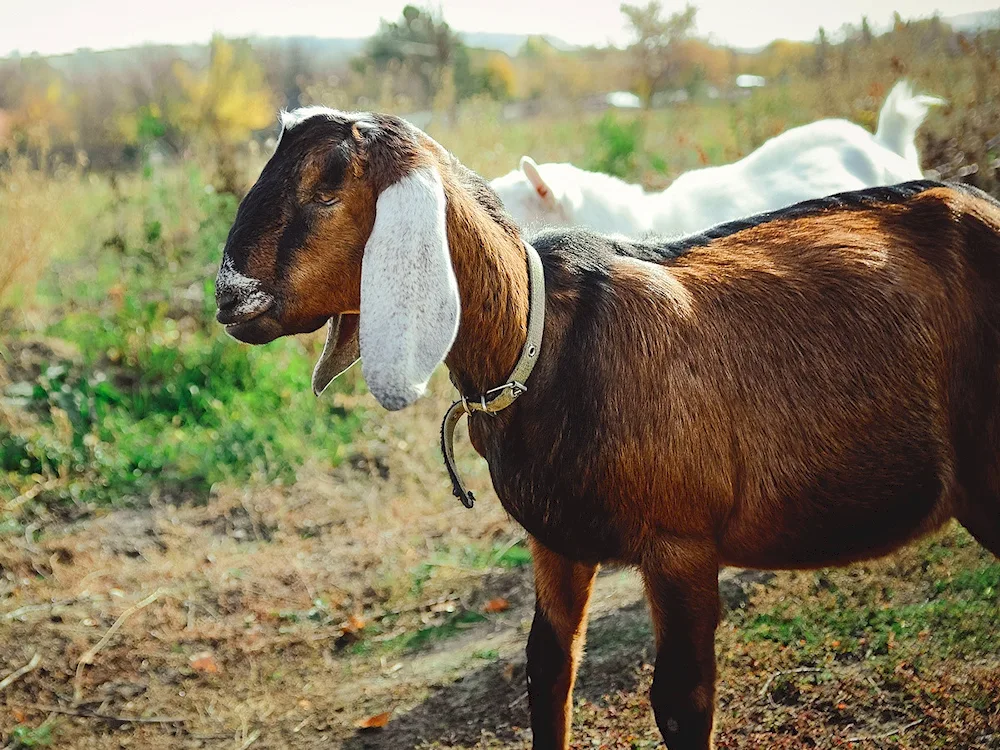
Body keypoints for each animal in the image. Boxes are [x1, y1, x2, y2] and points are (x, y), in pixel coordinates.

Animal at [215, 108, 1000, 748]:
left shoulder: (681, 546)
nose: (229, 296)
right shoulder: (557, 543)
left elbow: (682, 703)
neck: (542, 340)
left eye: (327, 185)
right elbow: (549, 672)